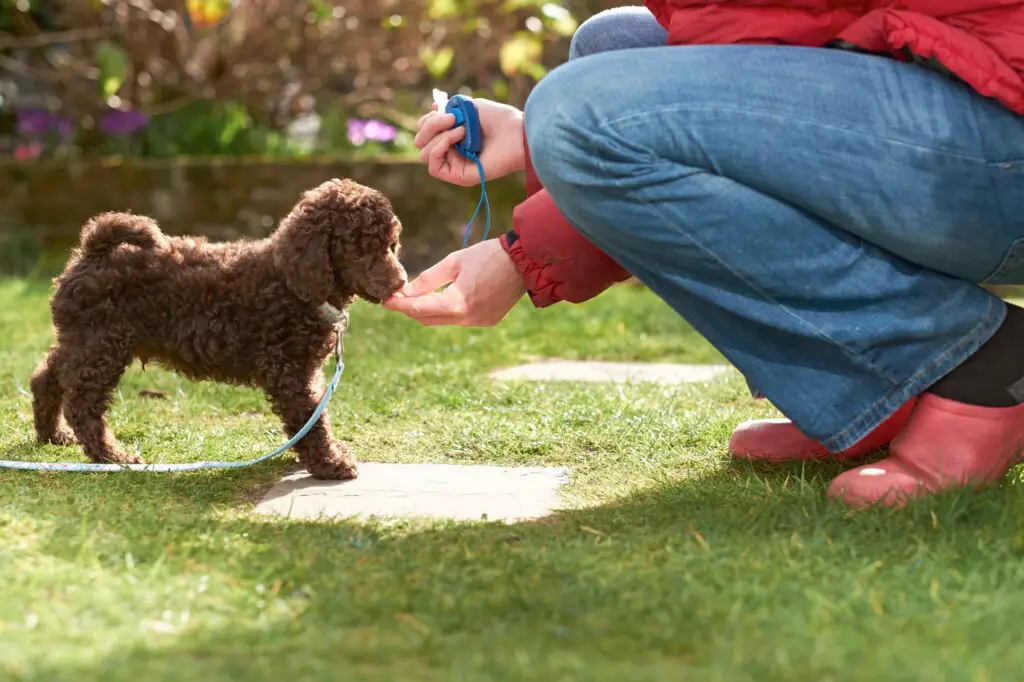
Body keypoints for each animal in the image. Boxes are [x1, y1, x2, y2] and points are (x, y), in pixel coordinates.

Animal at [29, 178, 403, 481]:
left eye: (391, 245)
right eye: (361, 248)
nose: (401, 282)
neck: (291, 282)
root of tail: (93, 252)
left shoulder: (302, 371)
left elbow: (312, 417)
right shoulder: (290, 372)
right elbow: (312, 419)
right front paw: (331, 463)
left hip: (83, 341)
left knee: (47, 377)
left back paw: (52, 434)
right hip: (101, 345)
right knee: (83, 404)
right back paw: (111, 456)